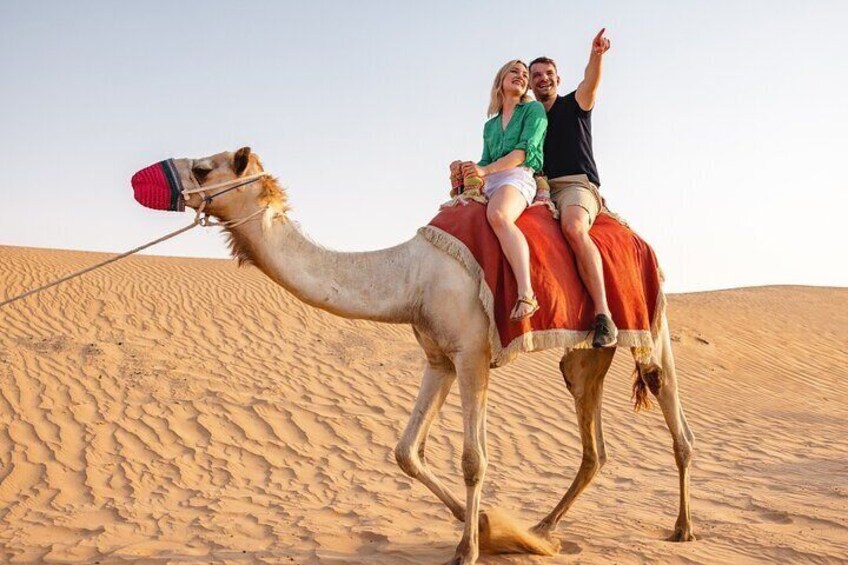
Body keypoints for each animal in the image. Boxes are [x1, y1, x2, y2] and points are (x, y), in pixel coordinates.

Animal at [172, 147, 695, 565]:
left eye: (202, 168)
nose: (170, 181)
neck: (412, 276)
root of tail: (639, 238)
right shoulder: (438, 357)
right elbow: (405, 451)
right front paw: (486, 526)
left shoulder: (472, 354)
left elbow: (473, 459)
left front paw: (468, 548)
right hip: (585, 356)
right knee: (593, 444)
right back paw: (543, 529)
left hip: (653, 322)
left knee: (672, 410)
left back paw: (683, 527)